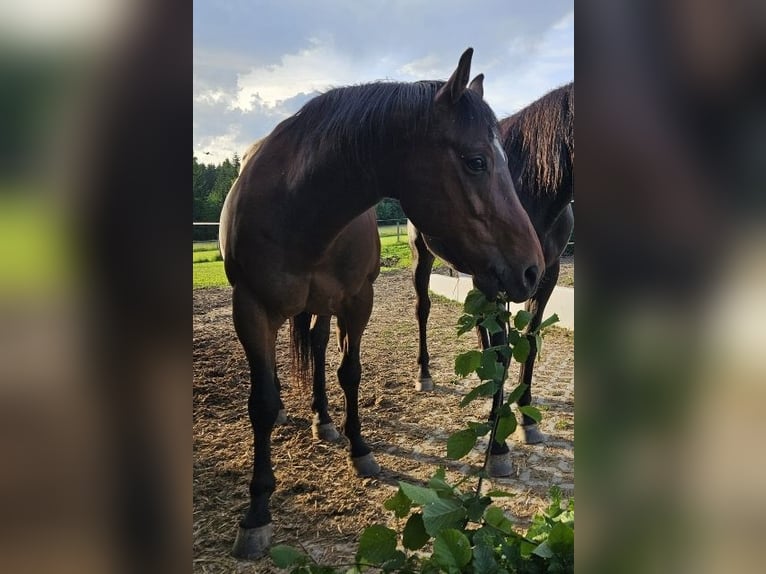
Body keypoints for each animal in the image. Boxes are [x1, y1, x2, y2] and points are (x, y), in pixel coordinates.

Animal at [218, 48, 544, 559]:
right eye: (476, 161)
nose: (533, 270)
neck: (298, 208)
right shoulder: (250, 309)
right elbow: (263, 402)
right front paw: (256, 513)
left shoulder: (358, 301)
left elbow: (348, 373)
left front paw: (359, 448)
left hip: (325, 306)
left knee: (317, 344)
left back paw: (323, 419)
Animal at [408, 82, 574, 471]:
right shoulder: (499, 277)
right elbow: (500, 353)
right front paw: (497, 445)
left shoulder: (545, 274)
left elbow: (527, 343)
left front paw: (527, 420)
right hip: (424, 256)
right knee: (423, 308)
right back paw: (424, 374)